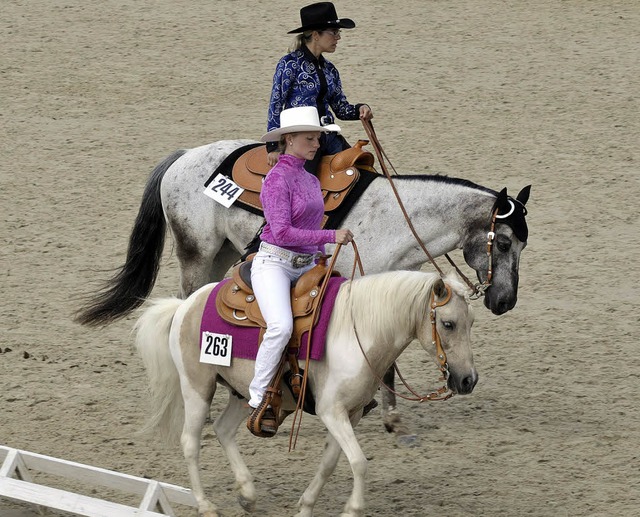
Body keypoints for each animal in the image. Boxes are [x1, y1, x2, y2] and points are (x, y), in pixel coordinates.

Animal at [76, 137, 528, 432]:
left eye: (524, 243)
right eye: (504, 242)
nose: (505, 300)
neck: (393, 221)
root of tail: (185, 157)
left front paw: (389, 415)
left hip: (221, 254)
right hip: (196, 254)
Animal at [134, 268, 476, 512]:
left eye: (471, 322)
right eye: (447, 324)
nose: (468, 380)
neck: (359, 330)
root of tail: (186, 304)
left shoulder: (351, 414)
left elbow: (330, 463)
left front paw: (306, 506)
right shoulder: (331, 411)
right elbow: (359, 462)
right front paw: (352, 509)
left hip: (241, 394)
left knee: (223, 429)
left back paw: (248, 495)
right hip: (196, 388)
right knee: (190, 442)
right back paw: (206, 505)